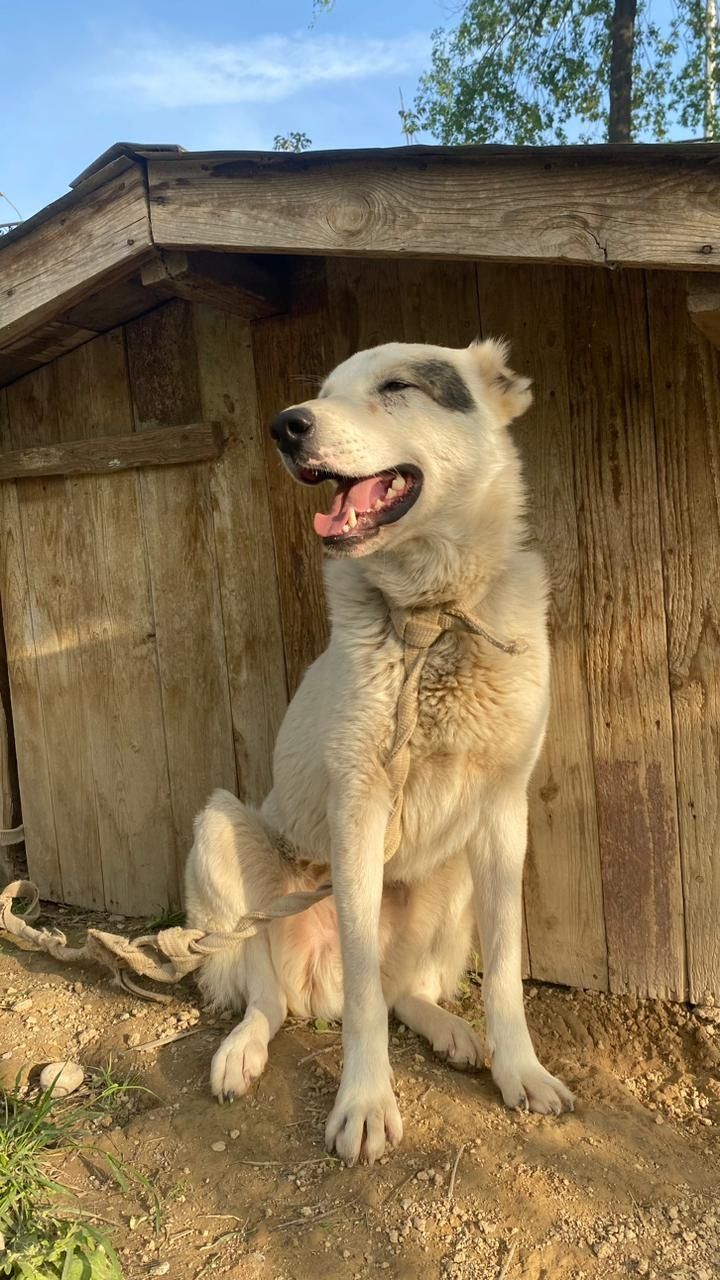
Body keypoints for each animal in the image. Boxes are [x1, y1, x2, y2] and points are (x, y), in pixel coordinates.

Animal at [184, 340, 571, 1172]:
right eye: (324, 392)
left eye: (397, 387)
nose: (285, 426)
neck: (435, 621)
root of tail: (314, 985)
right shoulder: (357, 813)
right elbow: (364, 993)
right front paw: (364, 1103)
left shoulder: (502, 815)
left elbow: (505, 974)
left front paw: (518, 1070)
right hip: (223, 838)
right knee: (271, 999)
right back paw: (241, 1052)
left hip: (453, 872)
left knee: (403, 990)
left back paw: (451, 1030)